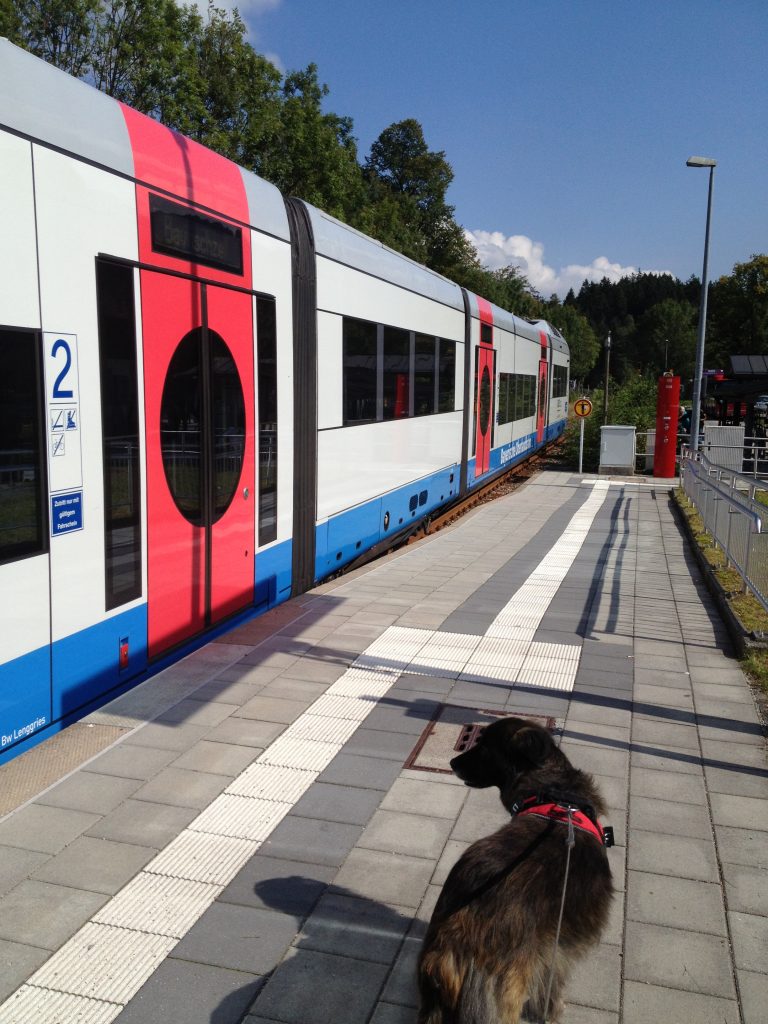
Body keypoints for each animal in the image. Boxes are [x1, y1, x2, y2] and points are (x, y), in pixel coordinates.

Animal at [417, 716, 618, 1024]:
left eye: (485, 748)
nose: (452, 762)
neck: (554, 794)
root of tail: (452, 942)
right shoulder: (558, 950)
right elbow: (551, 987)